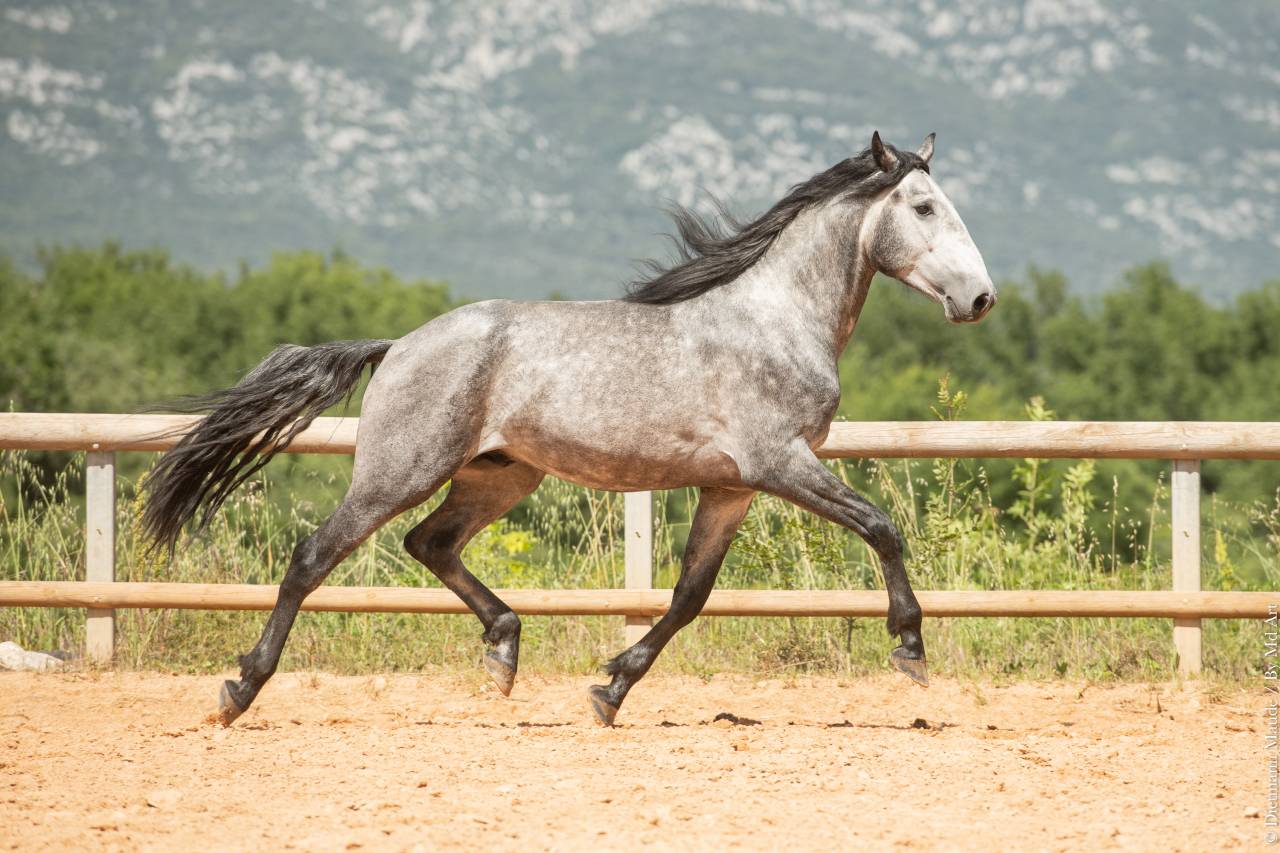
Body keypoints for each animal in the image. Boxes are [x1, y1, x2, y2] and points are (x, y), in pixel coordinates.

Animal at [142, 131, 996, 727]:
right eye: (924, 207)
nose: (980, 299)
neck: (775, 321)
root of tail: (399, 344)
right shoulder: (778, 463)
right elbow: (881, 526)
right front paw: (910, 648)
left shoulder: (731, 487)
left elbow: (690, 594)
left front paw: (611, 687)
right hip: (401, 468)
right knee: (314, 555)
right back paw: (238, 689)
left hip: (500, 474)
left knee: (430, 543)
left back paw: (505, 651)